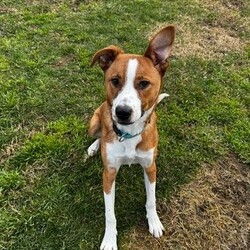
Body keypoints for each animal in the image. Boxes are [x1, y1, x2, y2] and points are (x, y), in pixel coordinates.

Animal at [88, 25, 176, 250]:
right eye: (115, 81)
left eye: (144, 83)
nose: (122, 112)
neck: (127, 135)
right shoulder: (109, 173)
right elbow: (110, 214)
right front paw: (109, 239)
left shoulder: (150, 167)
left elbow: (151, 200)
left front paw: (154, 222)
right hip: (94, 122)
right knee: (98, 134)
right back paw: (94, 147)